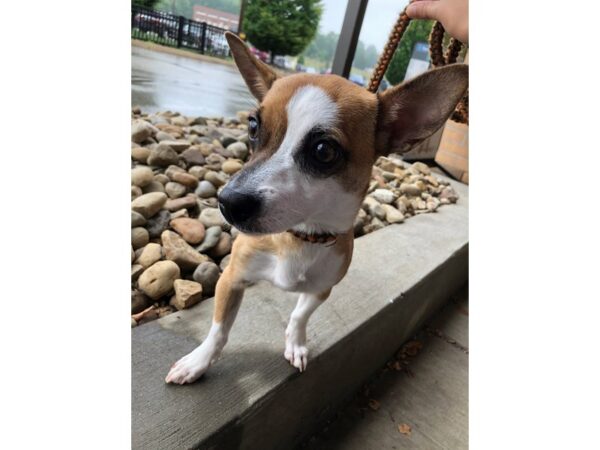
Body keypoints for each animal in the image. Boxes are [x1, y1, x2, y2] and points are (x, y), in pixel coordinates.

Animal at [164, 30, 468, 384]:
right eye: (253, 127)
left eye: (324, 150)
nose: (228, 202)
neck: (302, 237)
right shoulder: (231, 280)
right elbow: (219, 330)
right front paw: (198, 362)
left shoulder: (323, 288)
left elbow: (300, 315)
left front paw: (295, 343)